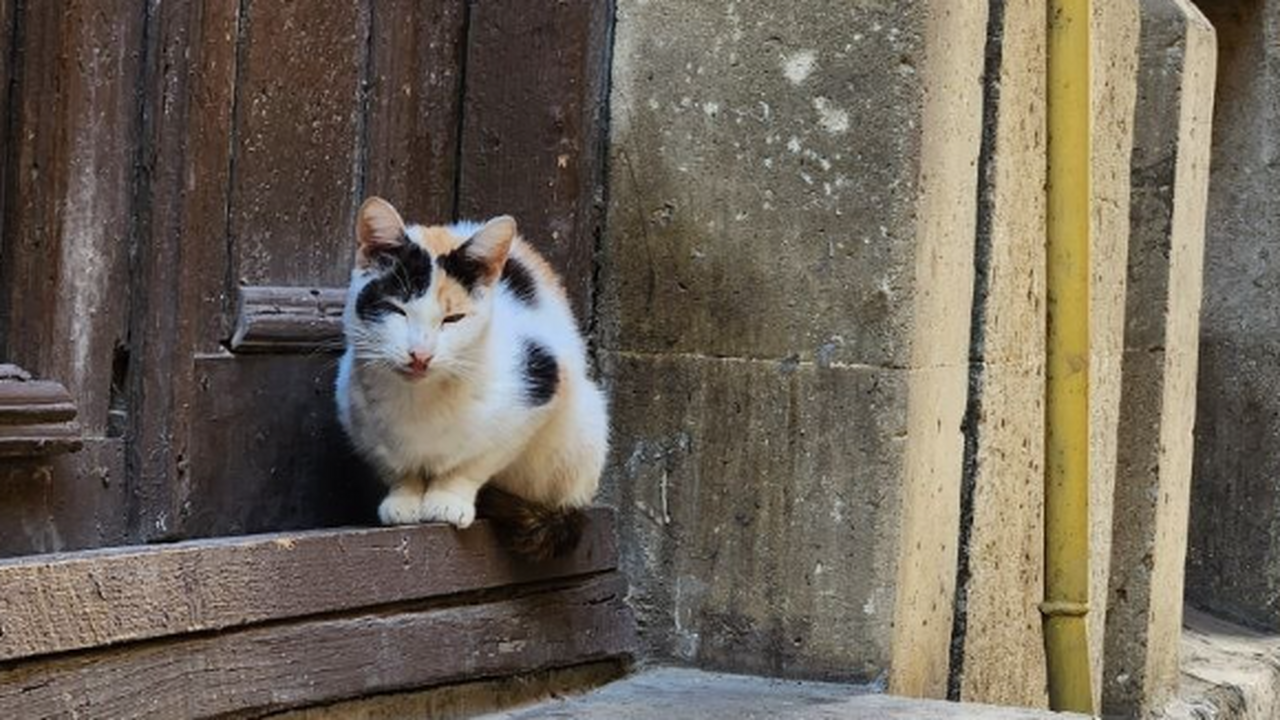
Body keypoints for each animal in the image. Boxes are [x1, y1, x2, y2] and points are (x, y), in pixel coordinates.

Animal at [332, 197, 606, 561]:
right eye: (397, 310)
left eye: (453, 319)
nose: (420, 355)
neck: (419, 401)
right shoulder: (359, 420)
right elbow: (396, 467)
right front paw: (404, 497)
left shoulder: (537, 389)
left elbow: (475, 461)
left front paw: (447, 498)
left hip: (584, 429)